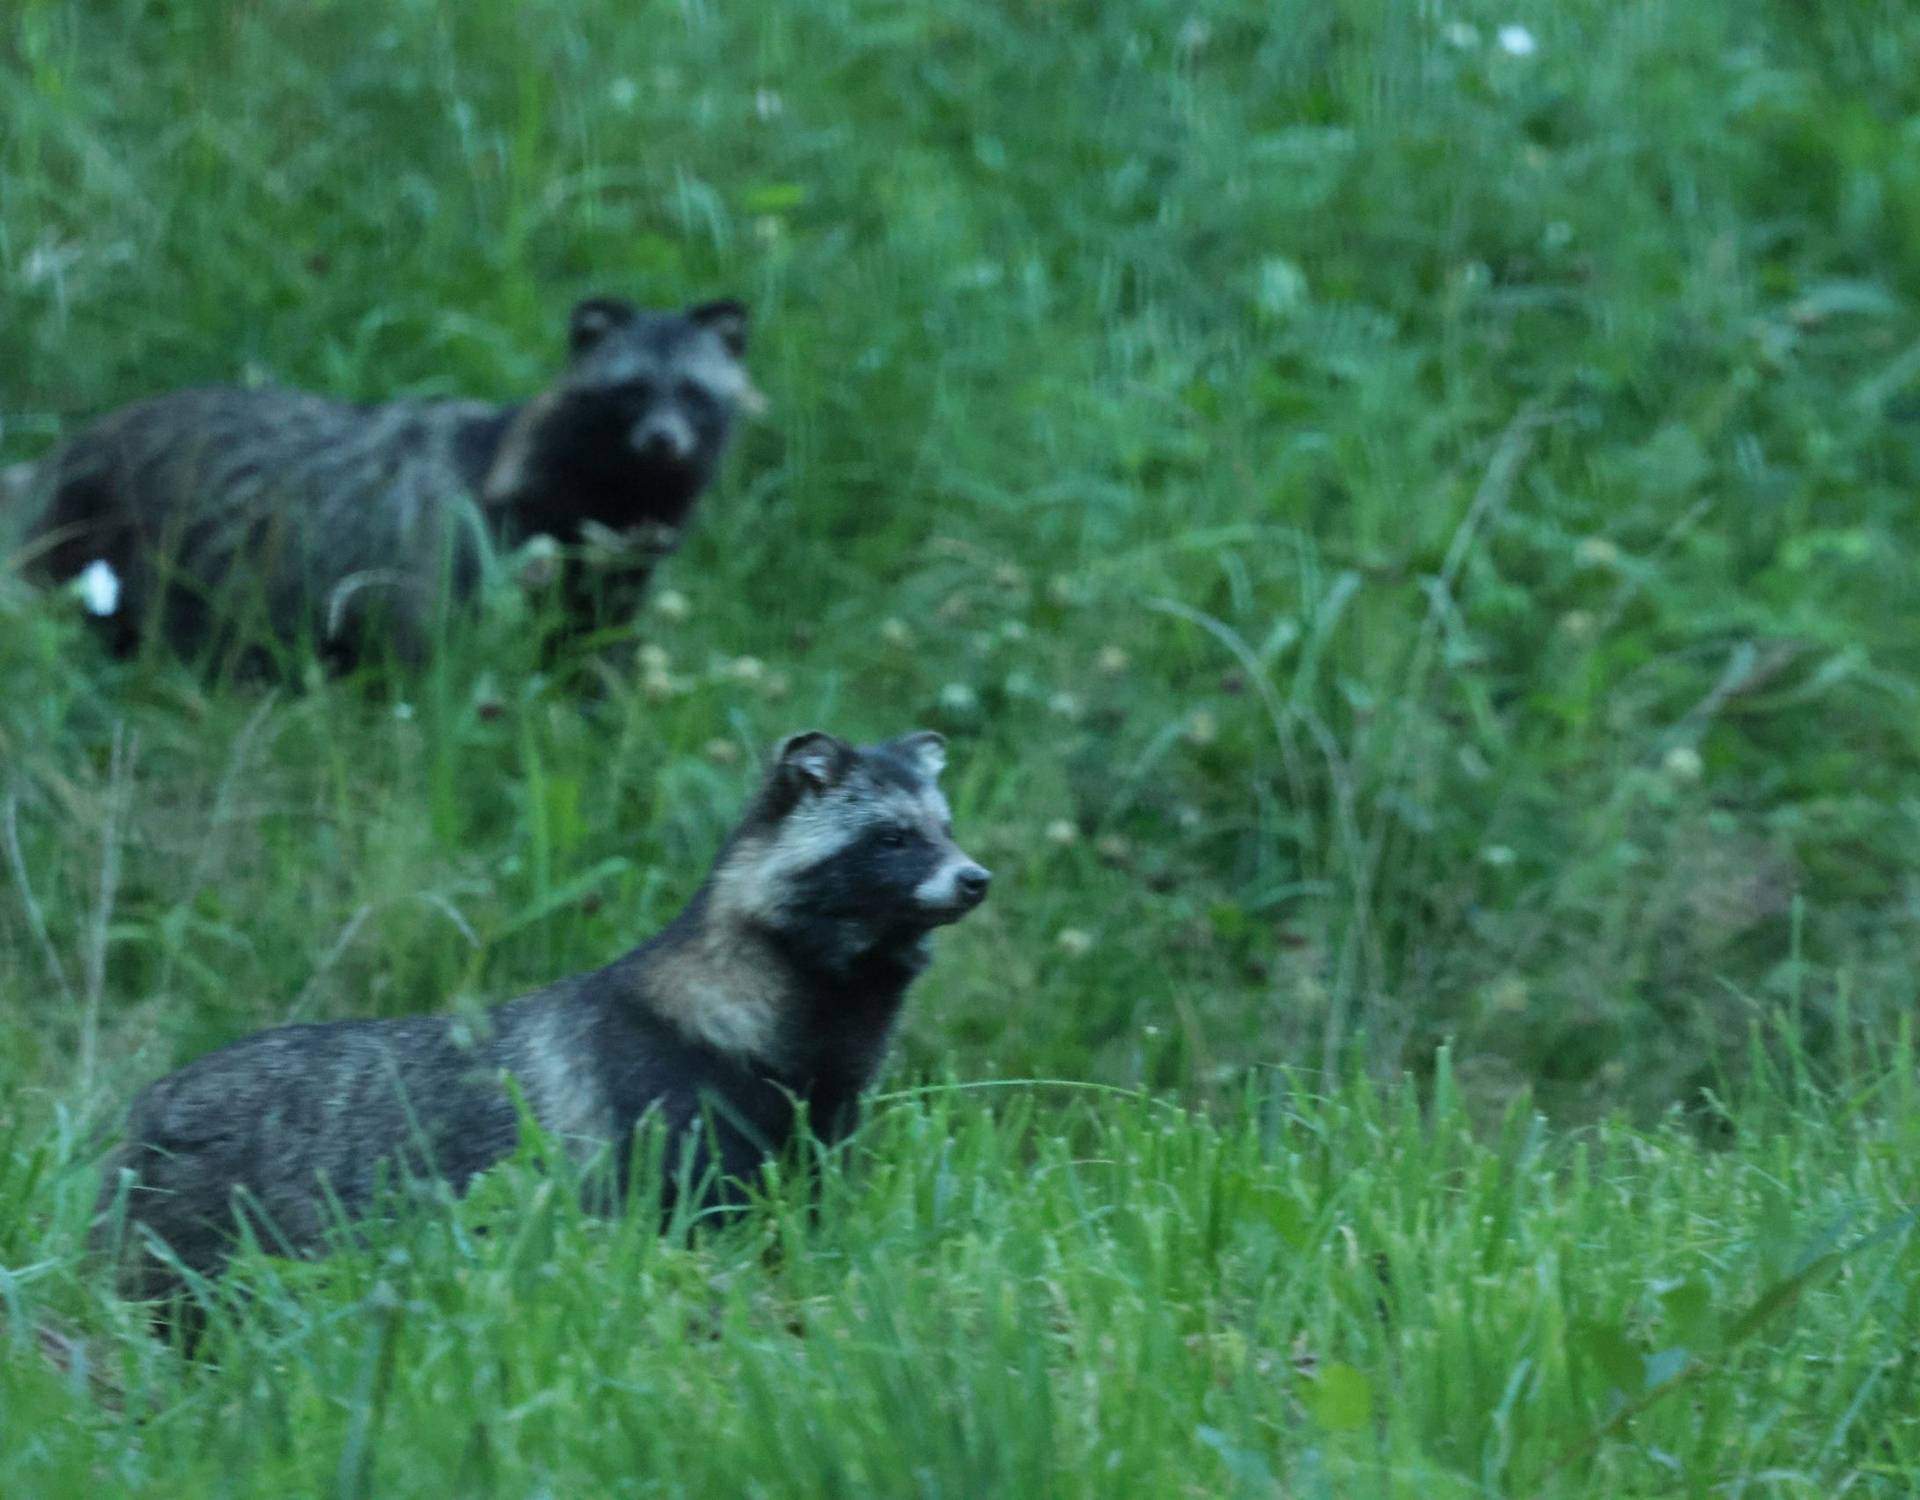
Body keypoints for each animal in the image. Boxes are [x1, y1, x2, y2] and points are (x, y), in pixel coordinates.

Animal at [19, 296, 754, 665]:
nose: (663, 442)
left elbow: (590, 641)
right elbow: (434, 646)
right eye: (631, 391)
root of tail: (69, 451)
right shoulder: (476, 541)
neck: (616, 493)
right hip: (137, 545)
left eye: (693, 393)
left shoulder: (607, 565)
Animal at [93, 730, 990, 1304]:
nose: (975, 878)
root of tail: (151, 1104)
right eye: (892, 837)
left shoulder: (818, 1115)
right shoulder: (667, 1101)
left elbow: (799, 1216)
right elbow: (696, 1221)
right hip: (209, 1218)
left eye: (946, 827)